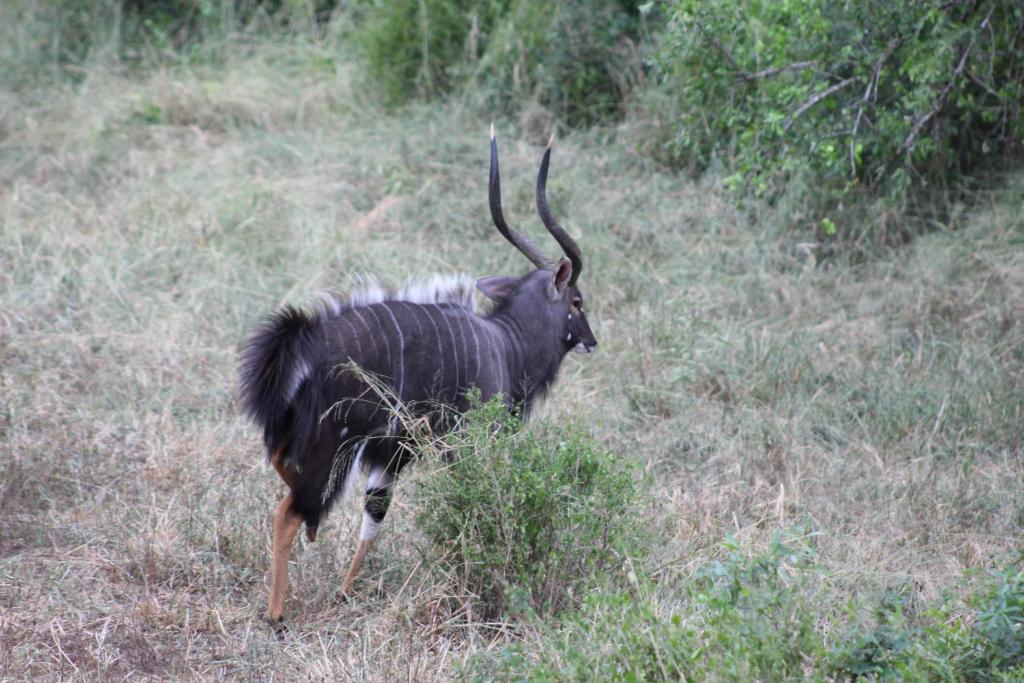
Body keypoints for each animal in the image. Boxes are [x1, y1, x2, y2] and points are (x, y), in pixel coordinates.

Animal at [240, 127, 598, 626]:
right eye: (577, 301)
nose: (591, 341)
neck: (507, 344)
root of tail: (306, 337)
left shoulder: (393, 452)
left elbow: (375, 514)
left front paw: (346, 592)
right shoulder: (465, 442)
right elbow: (468, 504)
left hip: (310, 437)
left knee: (283, 472)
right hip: (332, 448)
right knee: (288, 513)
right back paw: (276, 613)